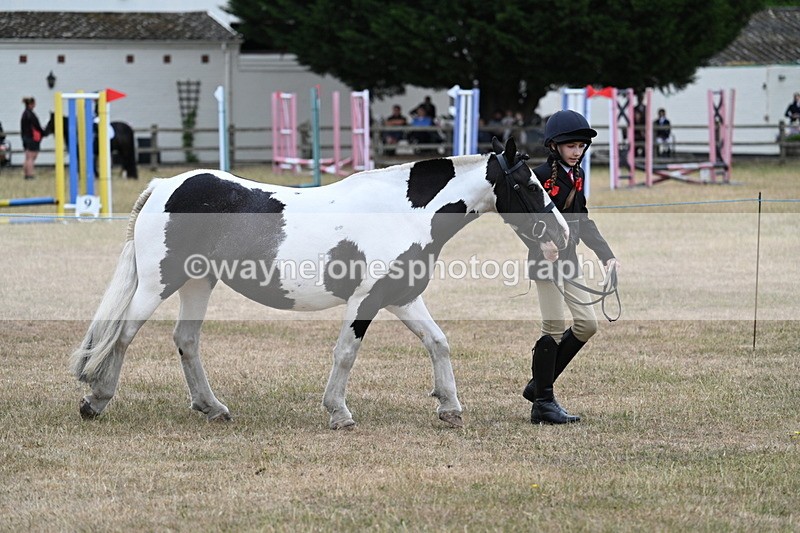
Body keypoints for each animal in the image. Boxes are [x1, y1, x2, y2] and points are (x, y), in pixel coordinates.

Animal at [70, 137, 569, 429]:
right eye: (529, 184)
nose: (563, 234)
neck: (401, 212)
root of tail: (165, 185)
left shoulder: (402, 297)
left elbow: (438, 342)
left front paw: (449, 407)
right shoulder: (366, 300)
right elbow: (346, 353)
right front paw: (338, 412)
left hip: (198, 282)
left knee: (185, 340)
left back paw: (212, 407)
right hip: (159, 282)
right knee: (122, 336)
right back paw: (96, 400)